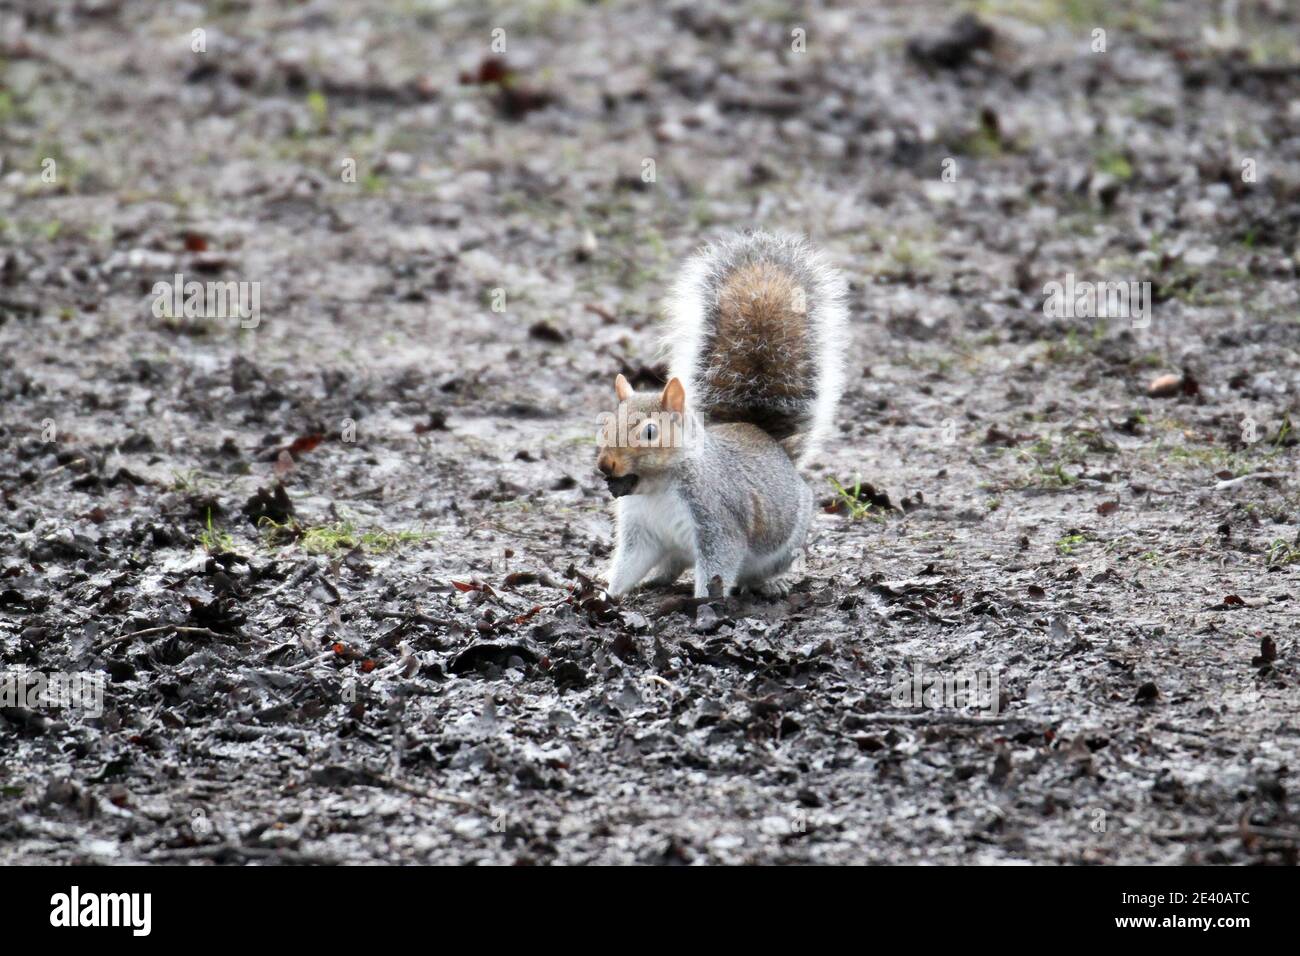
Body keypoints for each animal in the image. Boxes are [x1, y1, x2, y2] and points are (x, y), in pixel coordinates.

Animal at [595, 231, 847, 598]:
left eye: (650, 433)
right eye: (605, 426)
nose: (605, 465)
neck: (656, 488)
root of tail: (766, 439)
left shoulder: (718, 521)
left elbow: (719, 564)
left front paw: (703, 604)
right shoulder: (640, 531)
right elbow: (627, 565)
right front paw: (606, 595)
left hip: (783, 545)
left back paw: (773, 583)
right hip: (672, 550)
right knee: (672, 566)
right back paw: (654, 580)